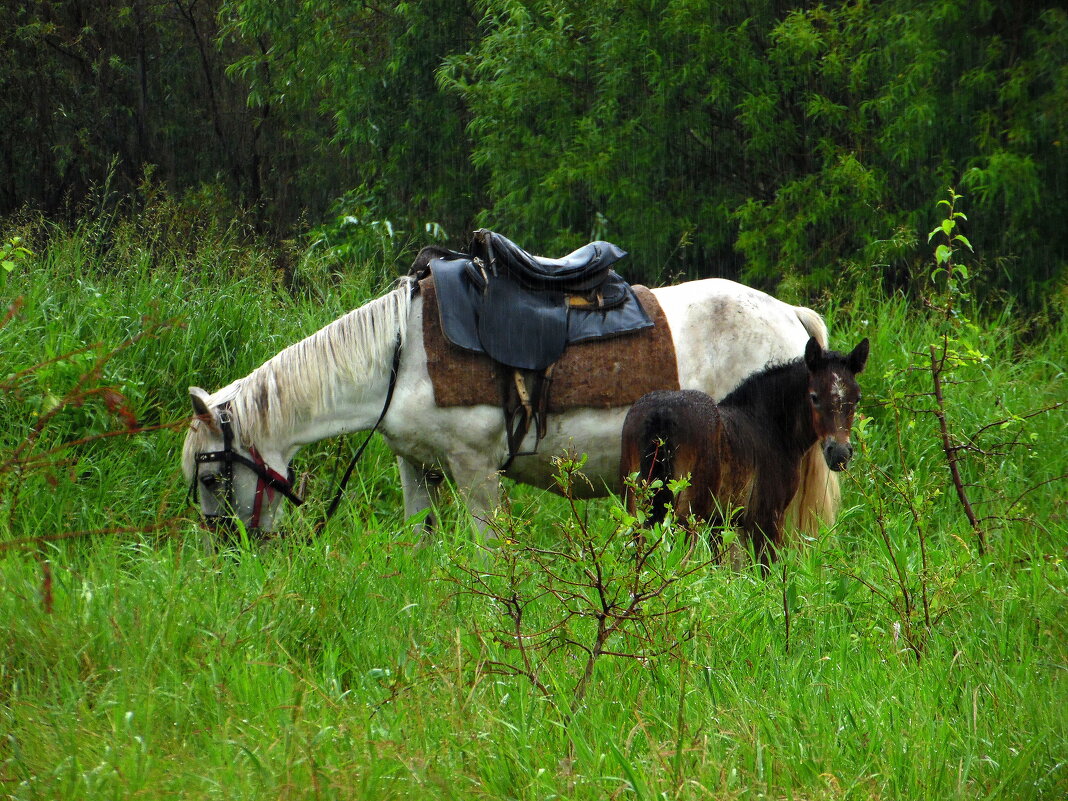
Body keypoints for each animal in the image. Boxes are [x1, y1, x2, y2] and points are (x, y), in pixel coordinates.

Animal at [183, 275, 837, 540]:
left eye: (212, 476)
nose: (231, 553)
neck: (403, 355)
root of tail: (788, 314)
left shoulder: (476, 473)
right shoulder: (416, 469)